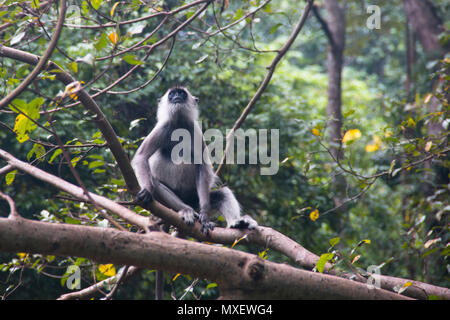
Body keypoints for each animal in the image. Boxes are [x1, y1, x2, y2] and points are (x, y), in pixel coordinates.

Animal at [131, 87, 256, 232]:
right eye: (172, 94)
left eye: (181, 93)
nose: (177, 96)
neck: (179, 124)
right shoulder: (163, 127)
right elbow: (142, 156)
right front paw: (146, 189)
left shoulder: (195, 130)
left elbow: (203, 167)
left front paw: (205, 215)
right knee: (156, 184)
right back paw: (186, 210)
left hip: (196, 200)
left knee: (223, 194)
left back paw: (235, 222)